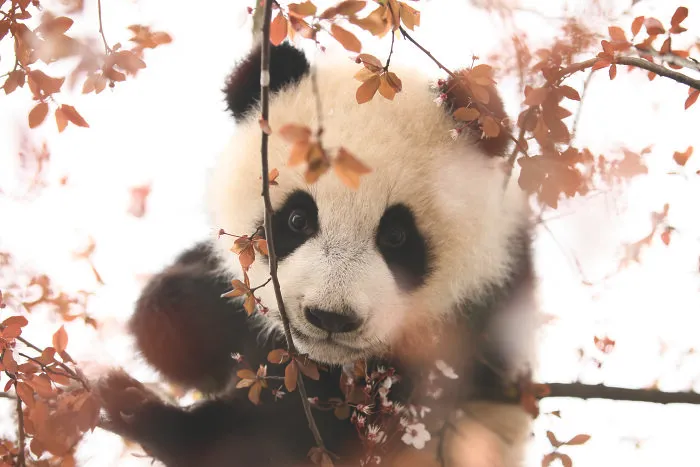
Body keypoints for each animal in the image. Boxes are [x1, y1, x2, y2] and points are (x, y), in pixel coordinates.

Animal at [97, 42, 536, 467]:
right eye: (297, 219)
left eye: (396, 236)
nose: (330, 317)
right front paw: (187, 325)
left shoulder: (469, 331)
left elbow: (274, 442)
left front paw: (137, 408)